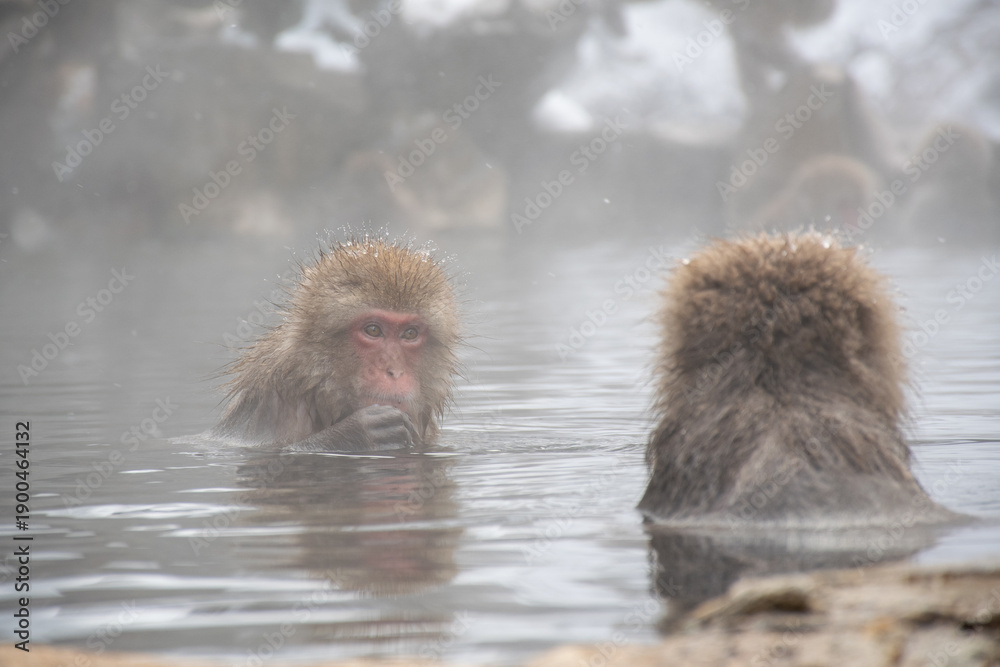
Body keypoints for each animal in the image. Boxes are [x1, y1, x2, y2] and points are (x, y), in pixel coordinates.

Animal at [208, 235, 460, 451]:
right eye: (373, 330)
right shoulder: (270, 409)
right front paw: (357, 433)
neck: (317, 389)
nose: (394, 372)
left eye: (409, 333)